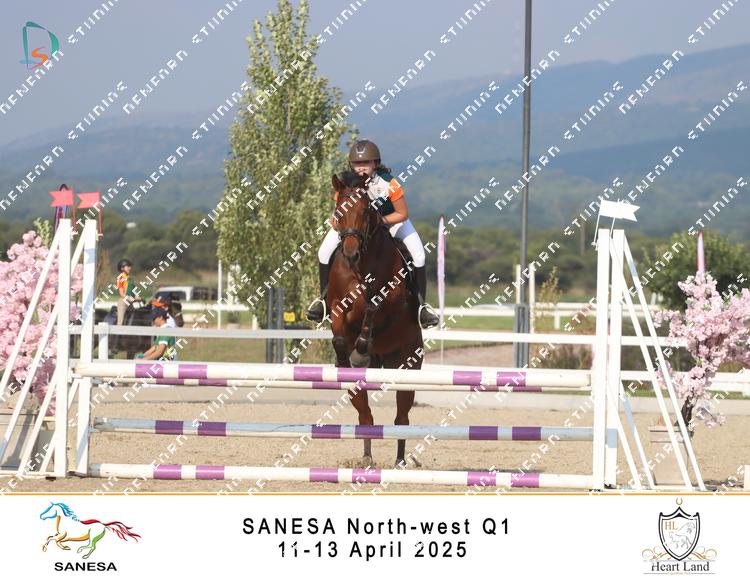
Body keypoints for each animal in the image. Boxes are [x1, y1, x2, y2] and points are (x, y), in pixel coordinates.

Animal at [327, 171, 423, 466]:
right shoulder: (336, 306)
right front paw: (345, 357)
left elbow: (371, 305)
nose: (350, 253)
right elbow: (339, 333)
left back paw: (400, 462)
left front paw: (360, 350)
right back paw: (367, 458)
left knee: (402, 418)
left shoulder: (389, 302)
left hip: (408, 366)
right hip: (360, 386)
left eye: (366, 211)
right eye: (338, 210)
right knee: (365, 415)